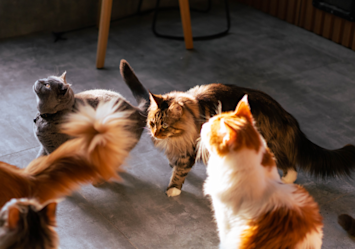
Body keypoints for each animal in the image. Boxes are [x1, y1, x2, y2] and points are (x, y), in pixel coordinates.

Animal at [146, 82, 355, 196]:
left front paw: (173, 189)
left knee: (290, 167)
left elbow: (180, 171)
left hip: (266, 144)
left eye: (165, 126)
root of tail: (284, 114)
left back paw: (284, 180)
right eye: (152, 123)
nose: (155, 134)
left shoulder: (190, 148)